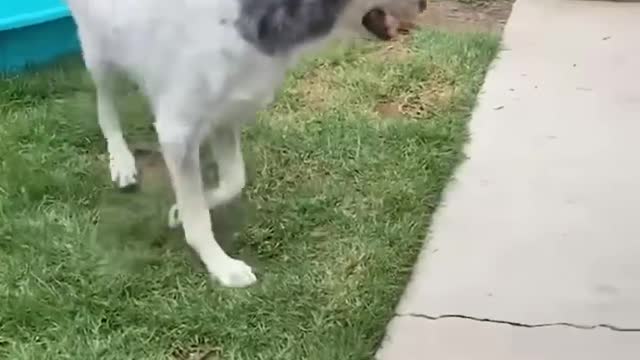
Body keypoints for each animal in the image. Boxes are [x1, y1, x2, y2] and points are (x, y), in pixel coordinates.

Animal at [65, 0, 428, 286]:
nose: (425, 5)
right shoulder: (177, 130)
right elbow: (199, 218)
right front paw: (221, 266)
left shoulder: (225, 116)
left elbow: (232, 181)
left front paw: (182, 211)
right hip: (99, 53)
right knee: (105, 106)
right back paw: (121, 161)